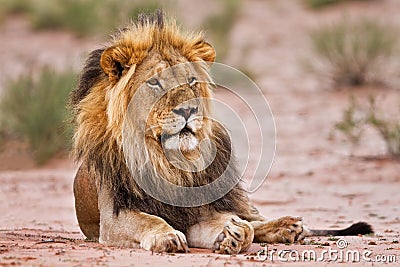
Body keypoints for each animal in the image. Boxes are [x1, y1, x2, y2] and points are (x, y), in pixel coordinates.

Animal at [69, 11, 372, 255]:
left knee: (252, 218)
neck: (168, 162)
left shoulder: (199, 211)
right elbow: (149, 220)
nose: (188, 110)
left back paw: (287, 227)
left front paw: (232, 235)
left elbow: (242, 227)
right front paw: (167, 237)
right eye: (154, 83)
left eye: (191, 80)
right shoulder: (113, 219)